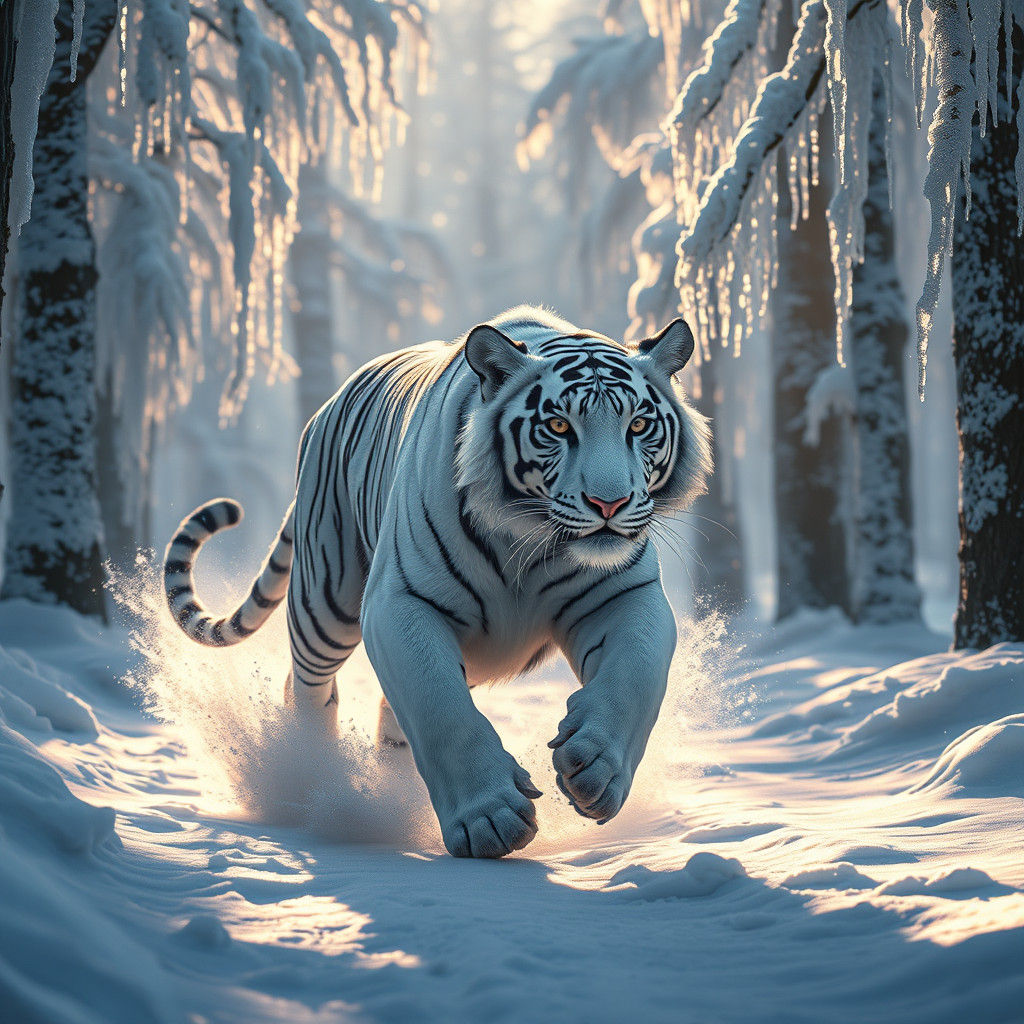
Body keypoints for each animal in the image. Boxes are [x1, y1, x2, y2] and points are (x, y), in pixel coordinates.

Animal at [163, 306, 711, 859]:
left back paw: (394, 798)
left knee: (391, 721)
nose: (609, 504)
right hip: (325, 600)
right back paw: (315, 781)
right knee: (309, 690)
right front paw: (489, 820)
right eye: (558, 425)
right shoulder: (399, 602)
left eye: (638, 424)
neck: (529, 542)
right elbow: (438, 707)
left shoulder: (625, 596)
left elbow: (635, 675)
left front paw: (596, 768)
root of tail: (327, 406)